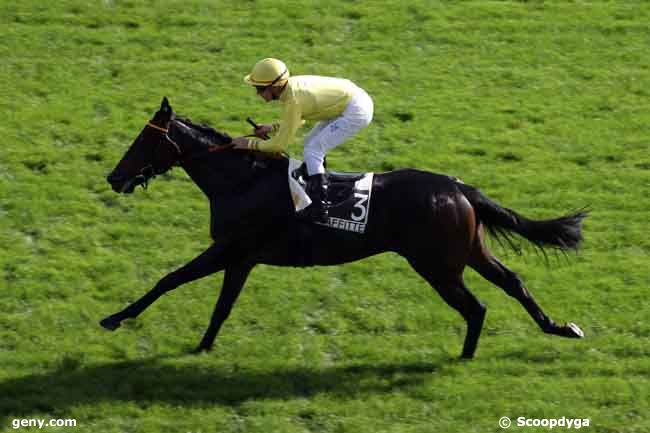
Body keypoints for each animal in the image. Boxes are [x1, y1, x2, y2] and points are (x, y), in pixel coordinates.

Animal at [101, 98, 588, 358]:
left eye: (144, 140)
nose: (114, 177)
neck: (242, 180)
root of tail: (458, 186)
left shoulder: (229, 249)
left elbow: (171, 279)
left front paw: (115, 318)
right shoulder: (241, 257)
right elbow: (221, 306)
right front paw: (202, 346)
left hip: (437, 265)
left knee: (476, 306)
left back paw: (465, 358)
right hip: (469, 251)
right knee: (512, 282)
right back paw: (560, 327)